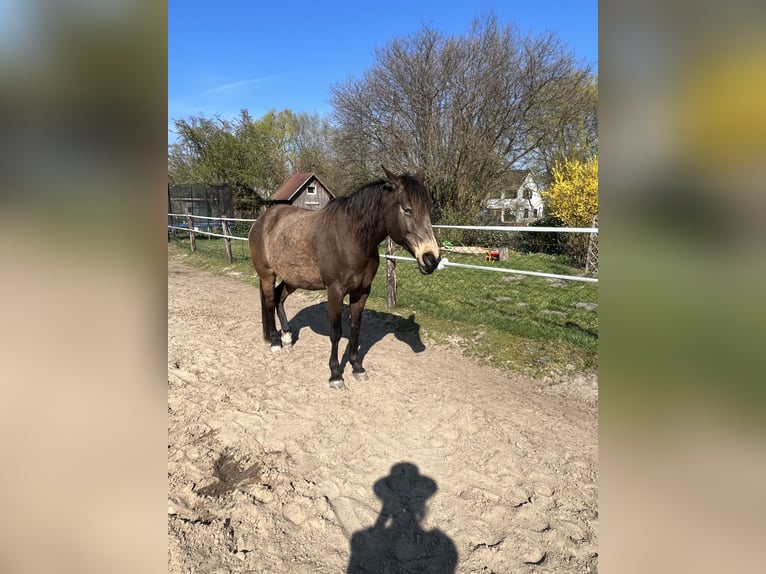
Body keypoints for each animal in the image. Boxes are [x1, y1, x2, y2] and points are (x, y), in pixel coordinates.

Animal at [248, 166, 440, 389]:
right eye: (407, 209)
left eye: (428, 209)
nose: (431, 258)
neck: (352, 238)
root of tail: (261, 221)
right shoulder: (335, 291)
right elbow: (336, 332)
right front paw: (335, 375)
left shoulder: (362, 291)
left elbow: (355, 329)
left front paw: (357, 368)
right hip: (267, 275)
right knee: (270, 301)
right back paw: (275, 341)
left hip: (293, 278)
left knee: (279, 298)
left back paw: (287, 336)